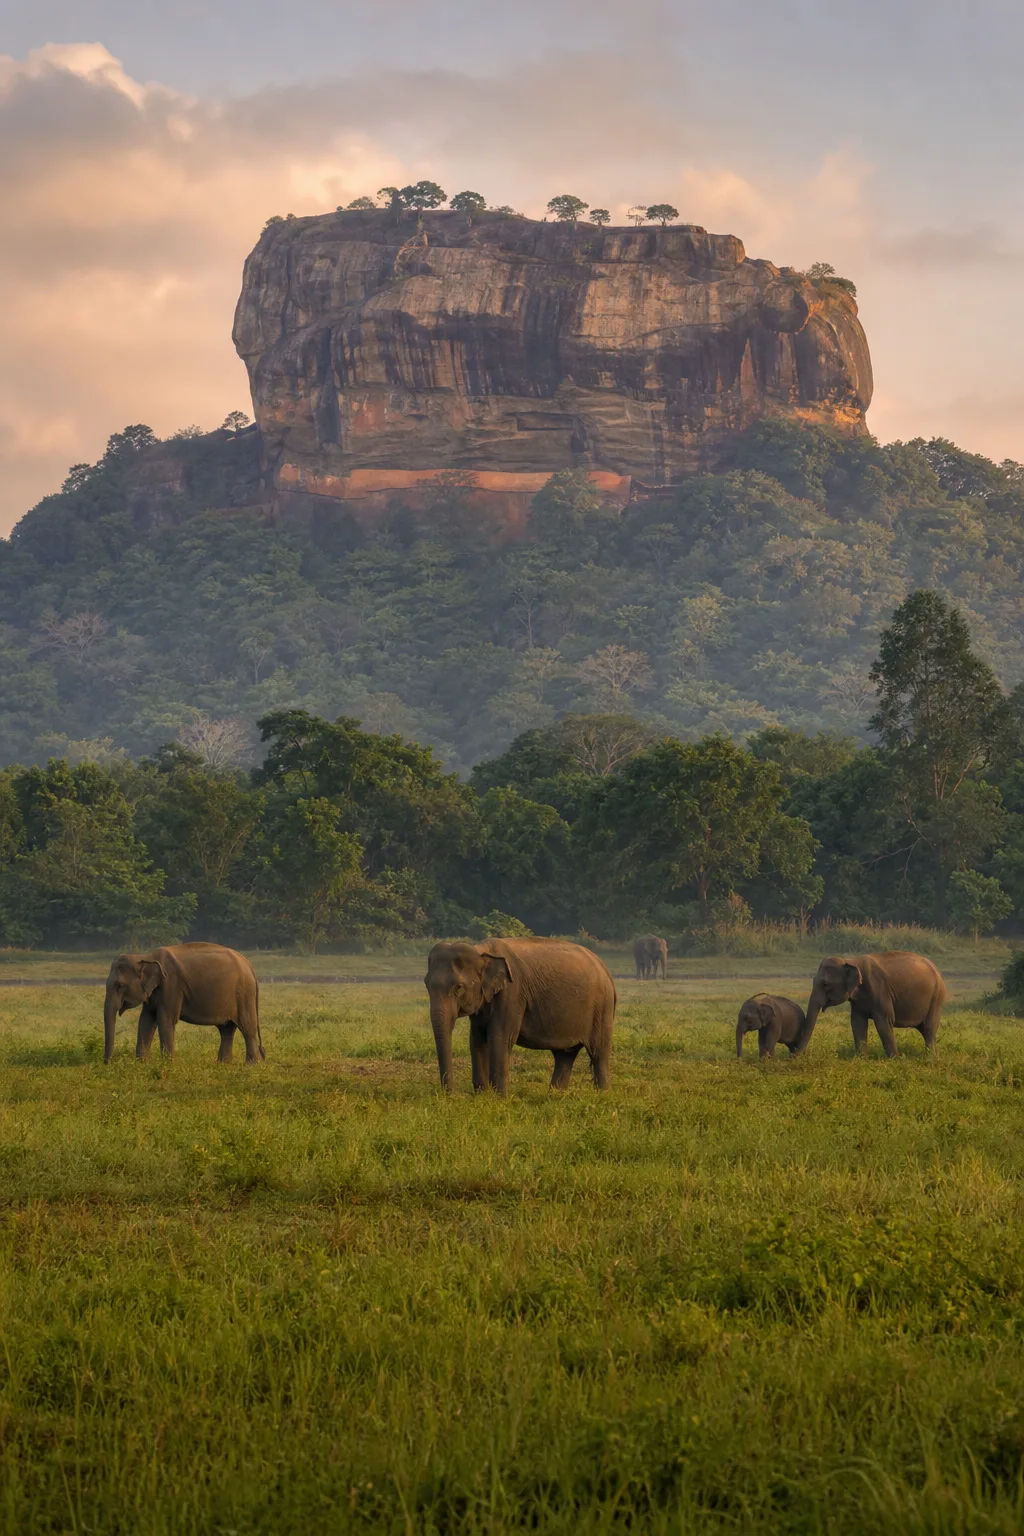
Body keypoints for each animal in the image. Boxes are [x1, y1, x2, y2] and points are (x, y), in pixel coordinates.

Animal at [104, 942, 263, 1064]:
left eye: (120, 986)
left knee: (247, 1027)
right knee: (227, 1029)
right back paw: (223, 1065)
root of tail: (249, 965)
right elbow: (146, 1019)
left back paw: (251, 1066)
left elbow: (165, 1019)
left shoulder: (171, 986)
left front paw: (167, 1065)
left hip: (245, 994)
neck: (146, 957)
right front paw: (142, 1064)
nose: (108, 1064)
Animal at [424, 937, 616, 1094]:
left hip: (602, 1010)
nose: (449, 1095)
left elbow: (499, 1038)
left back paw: (603, 1096)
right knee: (565, 1056)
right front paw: (482, 1097)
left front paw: (499, 1099)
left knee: (598, 1053)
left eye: (458, 987)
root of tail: (605, 969)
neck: (481, 950)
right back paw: (554, 1097)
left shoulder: (512, 994)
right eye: (426, 984)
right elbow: (476, 1040)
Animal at [796, 951, 947, 1058]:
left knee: (929, 1028)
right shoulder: (857, 1000)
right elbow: (857, 1022)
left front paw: (895, 1059)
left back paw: (931, 1057)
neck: (850, 961)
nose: (796, 1056)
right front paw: (861, 1058)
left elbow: (884, 1022)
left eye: (825, 984)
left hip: (936, 997)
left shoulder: (880, 991)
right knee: (924, 1029)